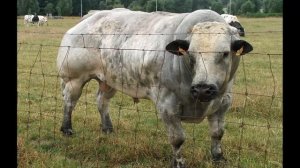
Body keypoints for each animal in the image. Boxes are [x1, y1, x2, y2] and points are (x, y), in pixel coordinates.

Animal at [56, 8, 253, 167]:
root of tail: (91, 16)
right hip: (74, 79)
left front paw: (218, 158)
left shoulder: (223, 102)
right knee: (69, 102)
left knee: (101, 102)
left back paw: (108, 128)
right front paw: (178, 162)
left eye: (225, 53)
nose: (203, 89)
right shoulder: (167, 105)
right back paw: (67, 129)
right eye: (190, 54)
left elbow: (217, 133)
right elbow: (177, 138)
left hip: (108, 80)